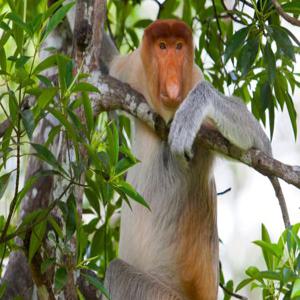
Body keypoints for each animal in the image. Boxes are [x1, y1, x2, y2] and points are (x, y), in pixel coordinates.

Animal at [104, 19, 270, 300]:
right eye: (162, 46)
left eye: (179, 47)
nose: (172, 83)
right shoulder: (132, 69)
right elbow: (105, 63)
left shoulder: (195, 84)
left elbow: (262, 146)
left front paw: (195, 106)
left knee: (115, 271)